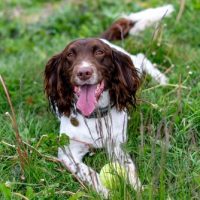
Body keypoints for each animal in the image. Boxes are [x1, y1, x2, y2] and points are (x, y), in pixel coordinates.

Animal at [43, 4, 173, 197]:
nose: (84, 72)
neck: (95, 116)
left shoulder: (117, 145)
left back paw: (162, 79)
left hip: (133, 65)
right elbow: (90, 173)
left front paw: (139, 190)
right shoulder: (68, 153)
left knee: (140, 56)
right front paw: (107, 192)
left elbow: (129, 169)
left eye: (99, 52)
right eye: (69, 55)